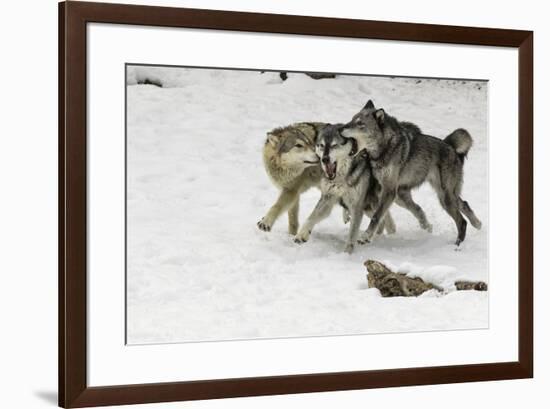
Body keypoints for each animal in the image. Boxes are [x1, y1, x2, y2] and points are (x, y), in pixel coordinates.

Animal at [296, 122, 398, 253]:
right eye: (321, 145)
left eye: (334, 145)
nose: (324, 159)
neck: (341, 179)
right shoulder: (328, 199)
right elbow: (311, 217)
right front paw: (301, 235)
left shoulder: (356, 207)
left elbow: (352, 235)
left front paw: (346, 254)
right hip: (368, 208)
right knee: (384, 221)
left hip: (373, 205)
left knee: (386, 221)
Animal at [342, 99, 480, 245]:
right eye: (352, 119)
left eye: (360, 124)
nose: (340, 128)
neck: (384, 148)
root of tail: (450, 146)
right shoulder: (382, 188)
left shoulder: (389, 191)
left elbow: (376, 216)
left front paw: (366, 236)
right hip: (433, 196)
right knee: (463, 204)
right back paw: (477, 224)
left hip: (444, 198)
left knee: (462, 221)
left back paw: (457, 244)